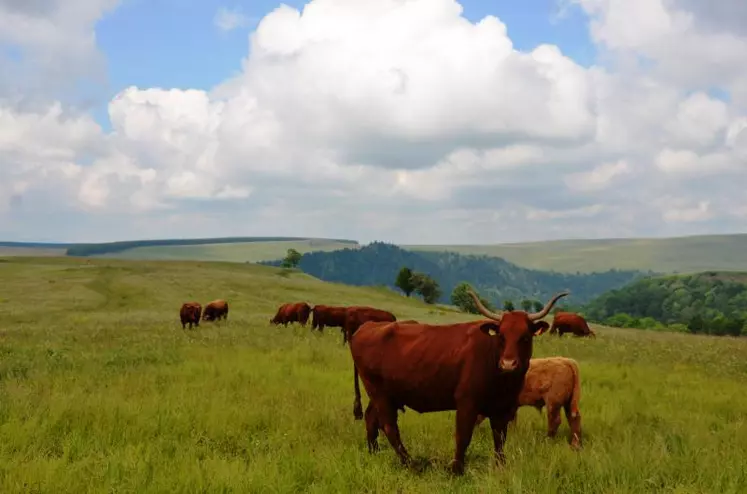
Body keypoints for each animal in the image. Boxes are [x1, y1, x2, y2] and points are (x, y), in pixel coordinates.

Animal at [348, 288, 568, 476]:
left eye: (525, 337)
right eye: (502, 336)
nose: (508, 364)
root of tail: (367, 327)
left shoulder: (502, 408)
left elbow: (499, 438)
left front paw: (500, 466)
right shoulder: (466, 403)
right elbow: (463, 436)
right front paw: (456, 469)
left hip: (384, 395)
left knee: (371, 419)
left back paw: (374, 452)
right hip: (379, 393)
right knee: (389, 427)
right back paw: (410, 464)